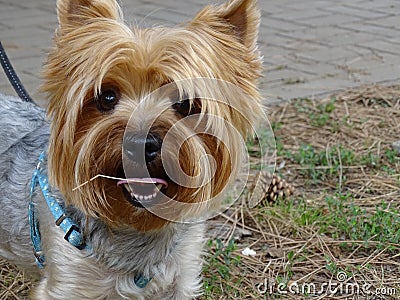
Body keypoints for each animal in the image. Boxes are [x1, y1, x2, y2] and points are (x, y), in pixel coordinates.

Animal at [0, 0, 264, 298]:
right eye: (106, 97)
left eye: (185, 104)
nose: (140, 143)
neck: (135, 228)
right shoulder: (69, 280)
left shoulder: (180, 276)